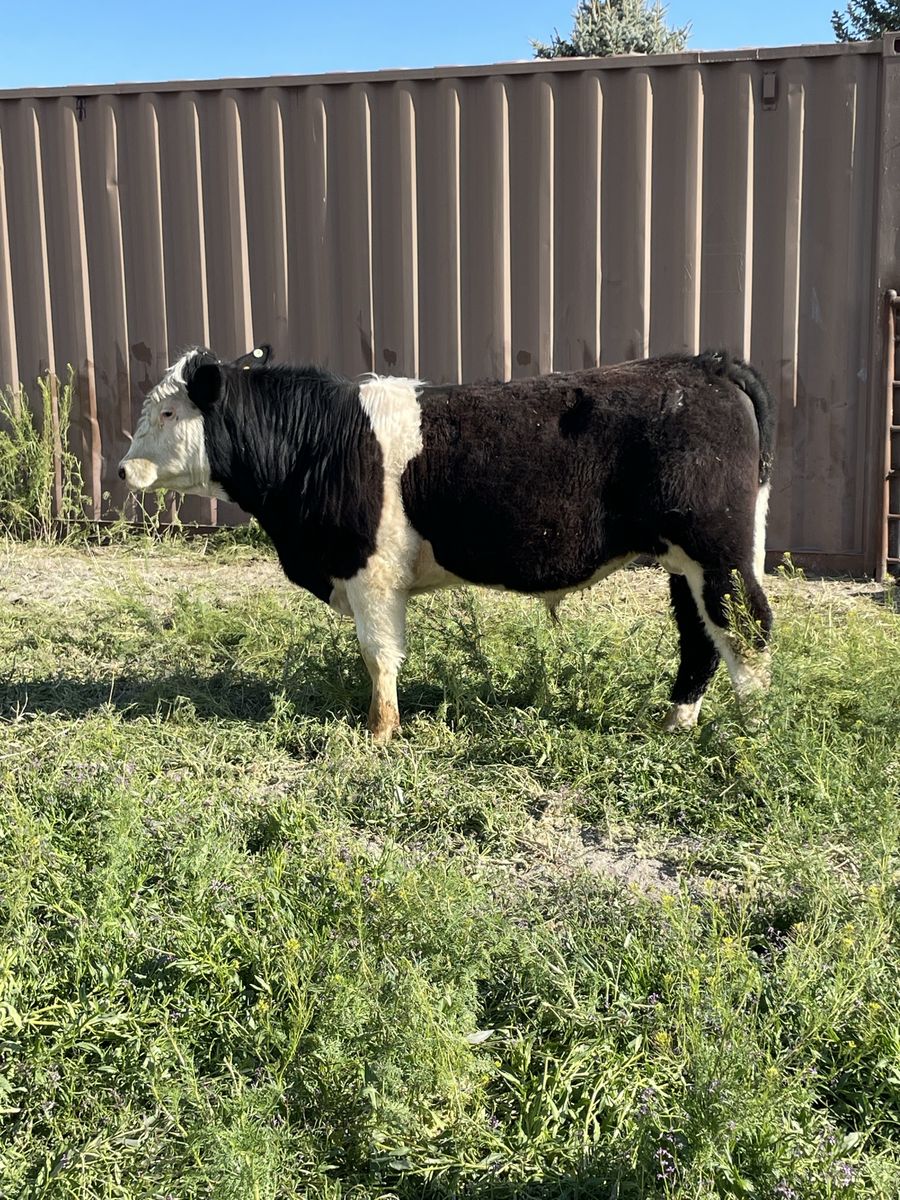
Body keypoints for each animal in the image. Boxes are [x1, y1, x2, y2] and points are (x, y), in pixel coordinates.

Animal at [119, 346, 776, 742]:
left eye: (169, 412)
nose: (123, 469)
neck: (322, 442)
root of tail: (708, 366)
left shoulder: (372, 573)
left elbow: (379, 654)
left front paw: (380, 731)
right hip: (686, 562)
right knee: (701, 637)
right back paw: (676, 724)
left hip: (719, 553)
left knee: (748, 629)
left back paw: (751, 735)